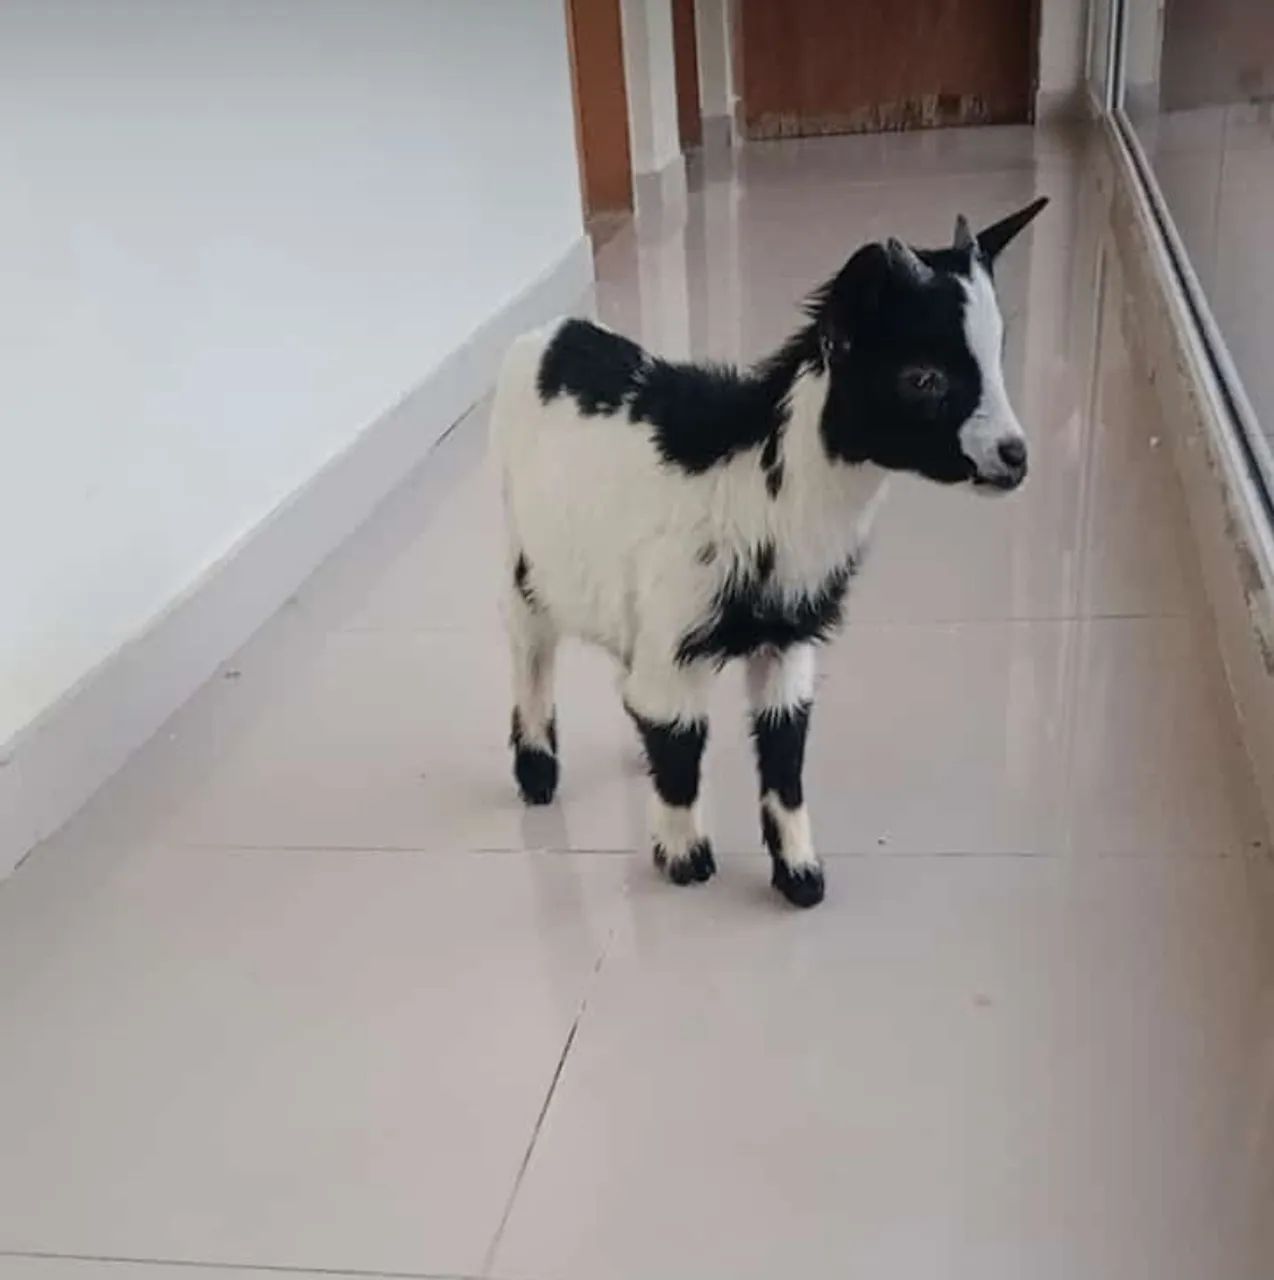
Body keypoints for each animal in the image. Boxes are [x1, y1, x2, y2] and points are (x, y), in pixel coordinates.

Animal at [490, 199, 1048, 908]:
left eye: (999, 356)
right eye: (924, 379)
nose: (1015, 456)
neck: (762, 486)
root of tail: (547, 335)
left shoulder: (787, 640)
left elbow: (784, 755)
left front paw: (800, 874)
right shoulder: (679, 627)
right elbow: (681, 748)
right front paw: (685, 860)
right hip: (525, 553)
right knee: (530, 647)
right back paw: (536, 772)